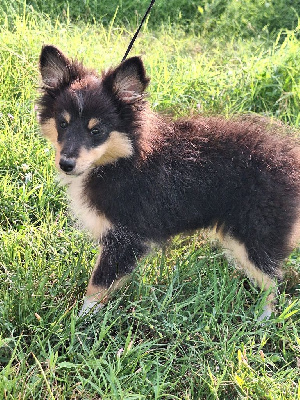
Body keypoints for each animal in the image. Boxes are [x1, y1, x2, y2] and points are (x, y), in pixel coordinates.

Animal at [38, 44, 300, 318]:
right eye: (62, 123)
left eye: (96, 130)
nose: (66, 164)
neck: (121, 160)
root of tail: (291, 157)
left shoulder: (126, 236)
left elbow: (98, 284)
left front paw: (79, 321)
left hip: (257, 232)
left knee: (272, 279)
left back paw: (263, 317)